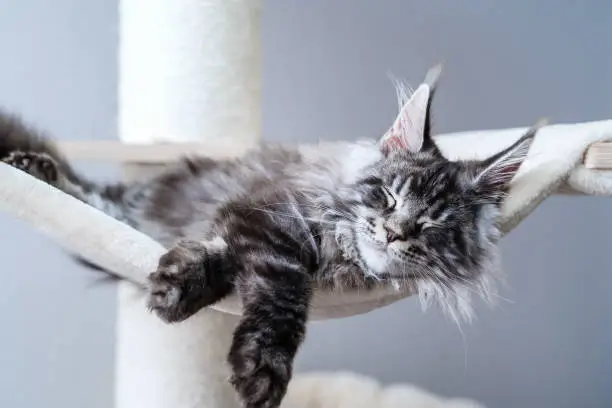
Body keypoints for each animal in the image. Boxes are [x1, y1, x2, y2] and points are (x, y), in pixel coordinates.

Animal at [0, 67, 540, 408]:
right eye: (387, 196)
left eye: (431, 224)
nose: (392, 232)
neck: (341, 257)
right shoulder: (270, 217)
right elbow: (282, 291)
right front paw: (261, 367)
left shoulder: (247, 228)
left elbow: (220, 262)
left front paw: (176, 284)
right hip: (136, 203)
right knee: (95, 197)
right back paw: (36, 169)